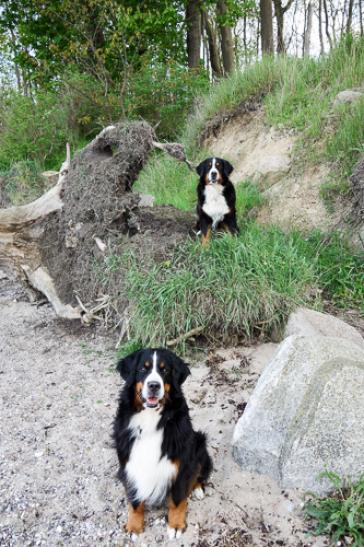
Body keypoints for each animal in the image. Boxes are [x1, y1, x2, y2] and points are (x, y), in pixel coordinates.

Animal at [112, 348, 212, 540]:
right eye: (143, 369)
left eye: (164, 370)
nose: (154, 385)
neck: (150, 419)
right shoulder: (129, 463)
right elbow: (134, 500)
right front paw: (134, 526)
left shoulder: (182, 464)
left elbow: (178, 499)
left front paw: (176, 525)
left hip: (199, 443)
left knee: (198, 474)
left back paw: (197, 489)